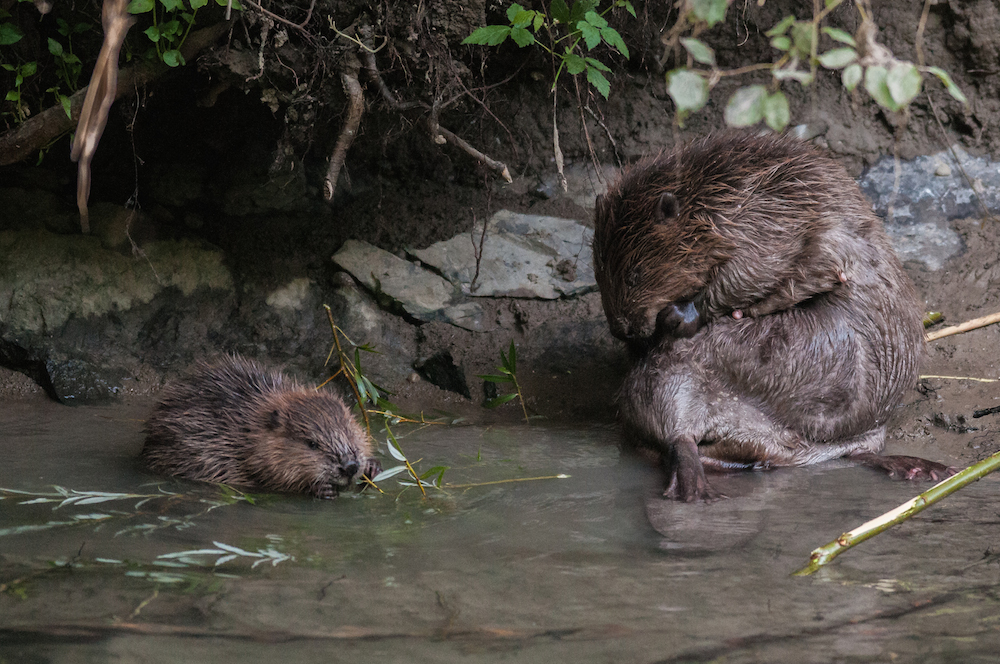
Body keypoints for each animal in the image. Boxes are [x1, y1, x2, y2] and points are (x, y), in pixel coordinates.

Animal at [137, 358, 378, 498]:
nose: (349, 466)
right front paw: (321, 488)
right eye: (312, 444)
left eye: (349, 432)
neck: (246, 429)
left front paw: (372, 467)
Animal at [592, 132, 952, 500]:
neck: (714, 200)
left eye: (634, 274)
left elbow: (753, 273)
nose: (623, 331)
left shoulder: (767, 227)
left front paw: (680, 316)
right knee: (679, 436)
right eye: (599, 273)